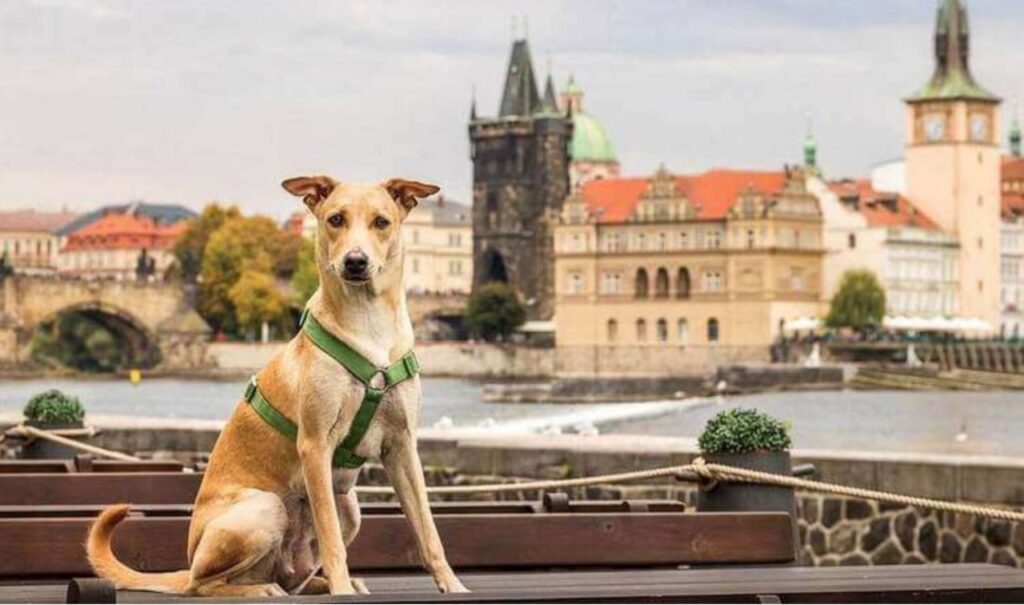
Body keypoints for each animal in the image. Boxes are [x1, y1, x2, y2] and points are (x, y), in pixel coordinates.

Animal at [87, 175, 468, 597]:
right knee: (205, 585)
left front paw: (452, 584)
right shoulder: (315, 446)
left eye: (381, 222)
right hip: (265, 508)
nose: (355, 261)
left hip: (349, 507)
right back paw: (263, 589)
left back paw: (327, 583)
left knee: (291, 578)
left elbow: (428, 531)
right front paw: (340, 588)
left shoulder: (402, 447)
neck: (368, 326)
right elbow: (331, 539)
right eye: (335, 219)